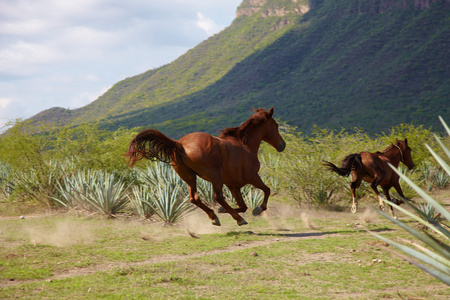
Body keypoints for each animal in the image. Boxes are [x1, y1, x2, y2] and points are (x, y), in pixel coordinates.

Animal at [124, 106, 284, 226]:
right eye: (276, 125)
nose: (282, 145)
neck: (245, 146)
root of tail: (180, 144)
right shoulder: (252, 177)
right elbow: (267, 190)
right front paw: (258, 209)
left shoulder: (233, 185)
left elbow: (243, 206)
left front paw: (223, 211)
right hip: (215, 176)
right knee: (217, 196)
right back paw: (238, 220)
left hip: (189, 177)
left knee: (194, 198)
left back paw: (215, 217)